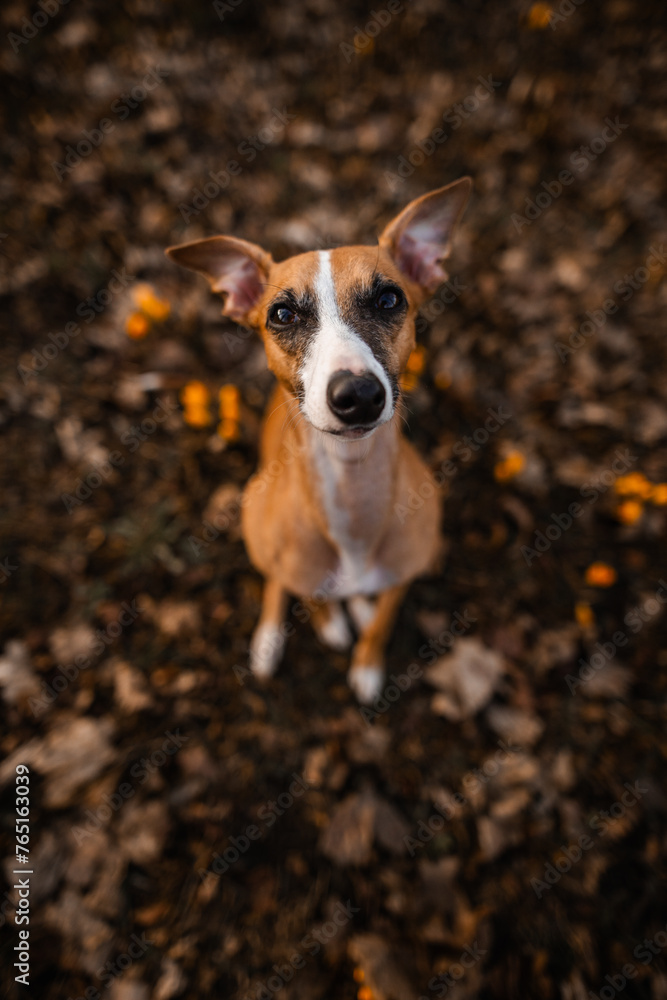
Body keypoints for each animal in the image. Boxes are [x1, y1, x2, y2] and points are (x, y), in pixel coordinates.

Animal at [166, 176, 470, 704]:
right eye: (283, 314)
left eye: (389, 300)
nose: (357, 395)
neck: (353, 488)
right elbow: (305, 593)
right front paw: (329, 624)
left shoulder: (404, 575)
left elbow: (383, 623)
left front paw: (367, 662)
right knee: (277, 585)